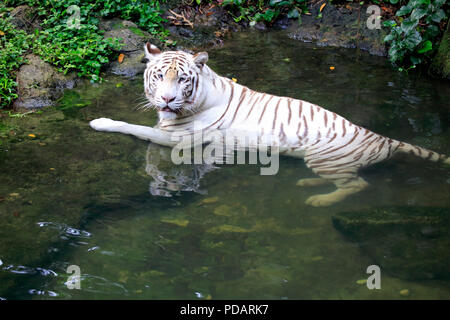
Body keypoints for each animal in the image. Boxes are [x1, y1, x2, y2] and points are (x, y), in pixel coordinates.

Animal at [91, 42, 450, 206]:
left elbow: (137, 129)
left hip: (327, 159)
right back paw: (306, 184)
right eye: (158, 77)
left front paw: (100, 121)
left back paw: (317, 200)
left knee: (356, 185)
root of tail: (382, 138)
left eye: (181, 79)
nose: (166, 99)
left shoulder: (177, 138)